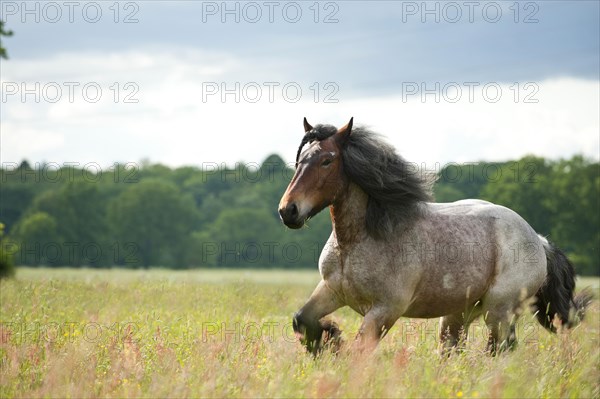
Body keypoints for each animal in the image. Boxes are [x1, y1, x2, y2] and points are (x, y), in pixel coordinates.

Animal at [278, 117, 592, 354]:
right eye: (300, 160)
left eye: (327, 160)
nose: (288, 211)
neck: (355, 241)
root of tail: (539, 240)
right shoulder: (332, 291)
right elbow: (302, 320)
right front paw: (329, 338)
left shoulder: (386, 310)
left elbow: (359, 352)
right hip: (457, 314)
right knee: (454, 349)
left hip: (498, 311)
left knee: (498, 350)